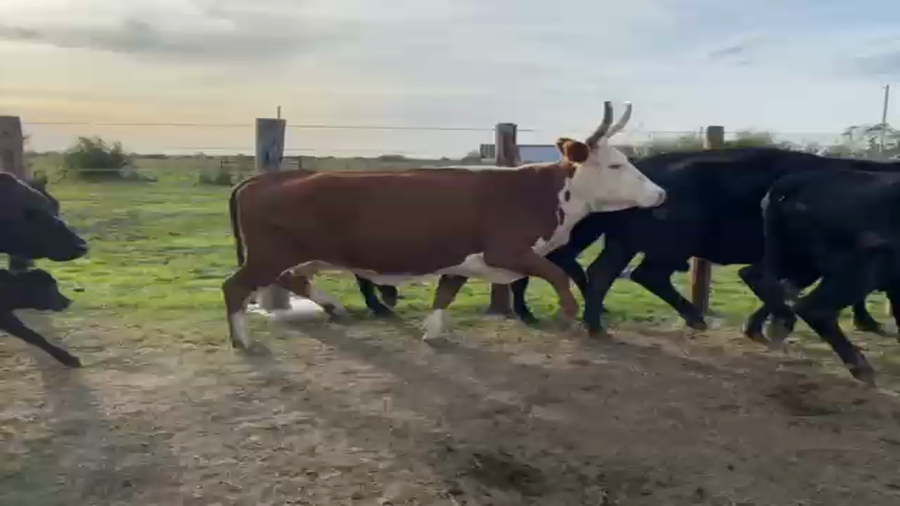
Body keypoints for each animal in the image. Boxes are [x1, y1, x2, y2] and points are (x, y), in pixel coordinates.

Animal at [222, 100, 667, 348]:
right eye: (615, 164)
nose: (660, 194)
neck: (534, 189)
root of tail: (263, 179)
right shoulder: (507, 251)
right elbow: (556, 274)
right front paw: (569, 315)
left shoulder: (462, 258)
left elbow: (445, 293)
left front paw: (433, 332)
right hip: (270, 254)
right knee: (235, 287)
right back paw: (243, 340)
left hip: (289, 256)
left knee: (289, 280)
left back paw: (333, 306)